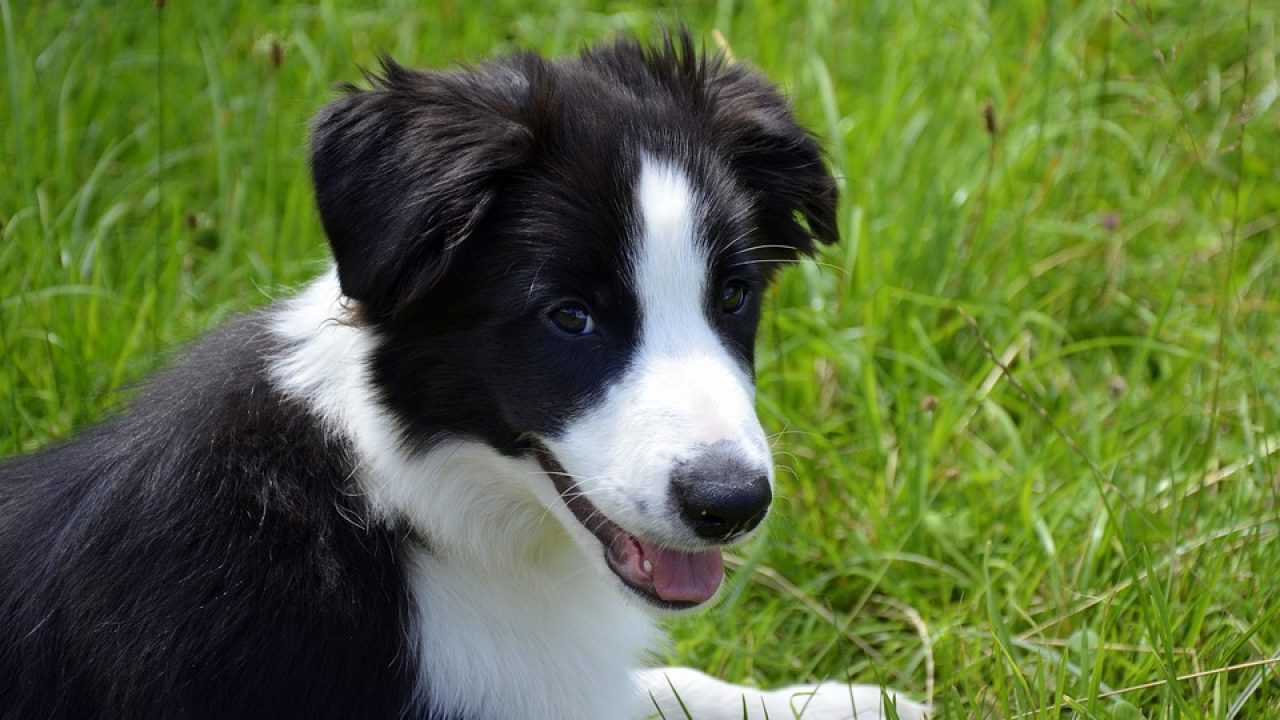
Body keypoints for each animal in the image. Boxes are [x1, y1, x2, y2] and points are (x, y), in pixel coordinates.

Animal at [0, 30, 931, 712]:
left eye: (734, 294)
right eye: (570, 316)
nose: (731, 505)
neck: (403, 503)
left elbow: (676, 686)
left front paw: (846, 702)